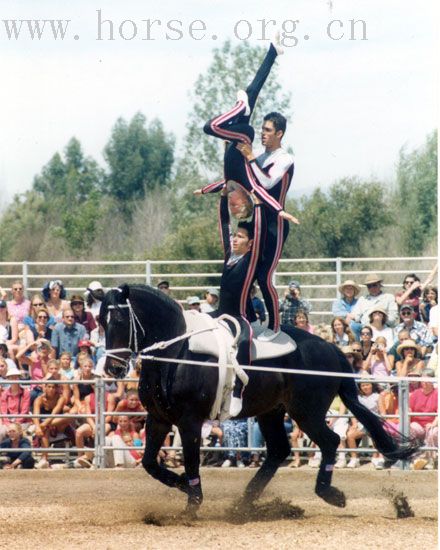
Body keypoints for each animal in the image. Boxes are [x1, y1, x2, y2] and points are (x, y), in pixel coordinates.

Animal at [101, 284, 418, 516]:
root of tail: (331, 349)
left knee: (329, 441)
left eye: (119, 320)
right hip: (272, 411)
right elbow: (150, 464)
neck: (177, 353)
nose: (113, 369)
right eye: (102, 321)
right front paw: (182, 486)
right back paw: (244, 503)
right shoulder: (158, 419)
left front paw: (192, 504)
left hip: (306, 412)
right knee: (278, 450)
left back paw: (330, 494)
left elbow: (190, 462)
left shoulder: (190, 421)